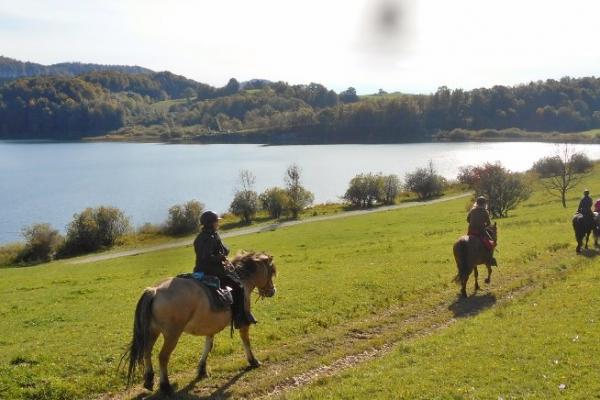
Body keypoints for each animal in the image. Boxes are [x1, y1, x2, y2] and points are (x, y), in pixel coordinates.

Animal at [122, 252, 276, 396]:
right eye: (271, 271)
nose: (272, 291)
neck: (241, 280)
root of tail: (154, 291)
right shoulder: (243, 322)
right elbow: (246, 341)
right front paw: (253, 361)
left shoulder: (211, 327)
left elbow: (208, 346)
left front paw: (202, 370)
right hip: (172, 335)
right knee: (162, 357)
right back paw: (165, 386)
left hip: (152, 331)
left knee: (147, 352)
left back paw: (149, 380)